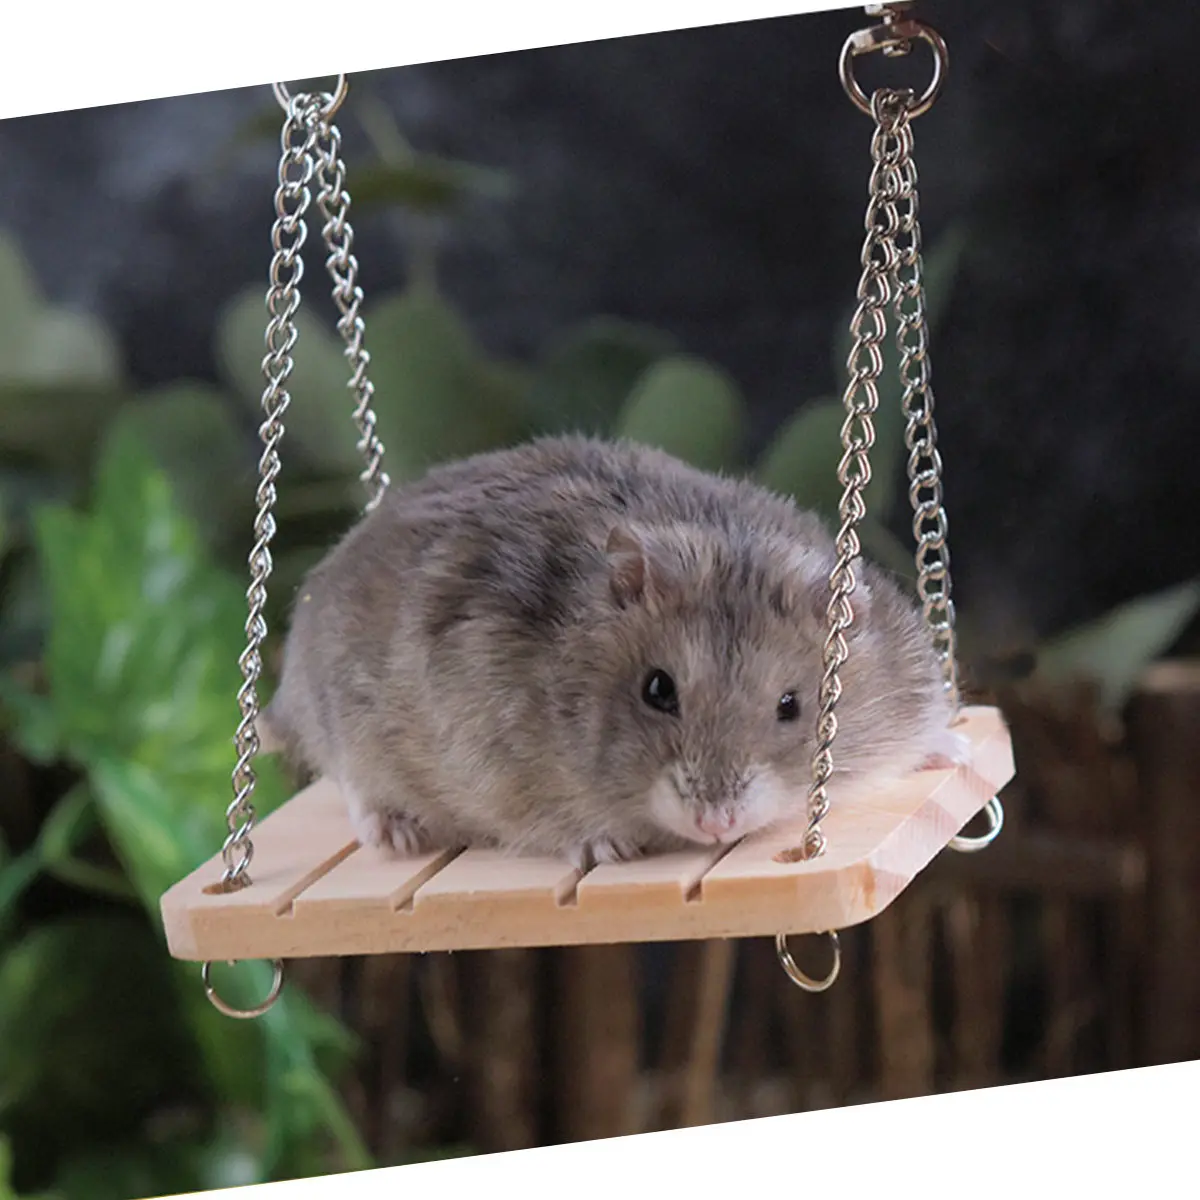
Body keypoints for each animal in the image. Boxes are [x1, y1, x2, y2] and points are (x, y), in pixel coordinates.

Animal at [262, 434, 967, 870]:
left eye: (793, 705)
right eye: (657, 690)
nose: (716, 821)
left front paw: (951, 747)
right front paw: (606, 848)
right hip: (338, 715)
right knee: (353, 781)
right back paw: (398, 832)